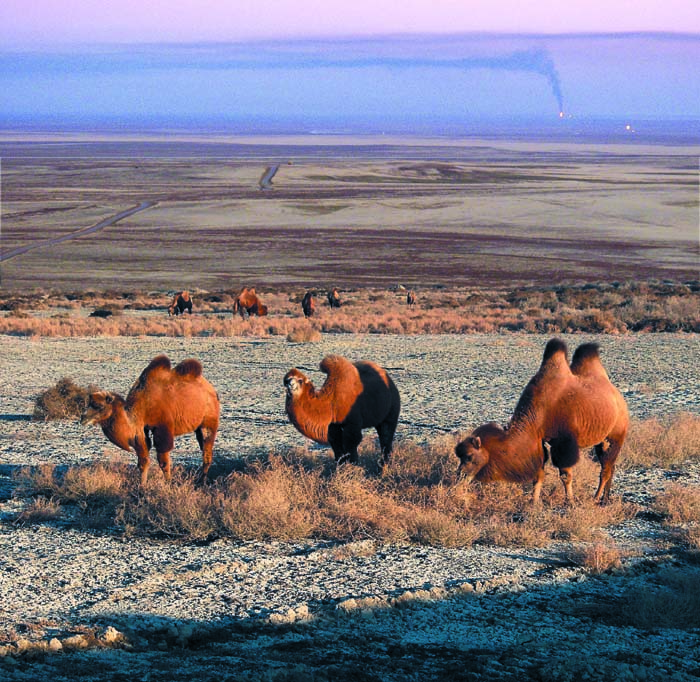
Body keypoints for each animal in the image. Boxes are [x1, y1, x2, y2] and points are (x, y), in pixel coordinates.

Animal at [80, 350, 220, 484]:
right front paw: (142, 485)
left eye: (99, 406)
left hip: (209, 421)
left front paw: (168, 483)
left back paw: (202, 481)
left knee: (207, 451)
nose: (83, 418)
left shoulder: (162, 429)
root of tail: (211, 389)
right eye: (88, 403)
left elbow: (163, 462)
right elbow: (143, 461)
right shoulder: (142, 430)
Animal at [454, 338, 628, 502]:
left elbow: (565, 475)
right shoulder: (540, 439)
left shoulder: (563, 443)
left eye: (469, 456)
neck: (539, 411)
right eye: (459, 456)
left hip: (616, 435)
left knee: (606, 469)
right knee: (610, 466)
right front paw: (534, 502)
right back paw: (605, 499)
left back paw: (596, 498)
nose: (459, 475)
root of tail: (619, 398)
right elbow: (538, 474)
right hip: (602, 440)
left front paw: (570, 502)